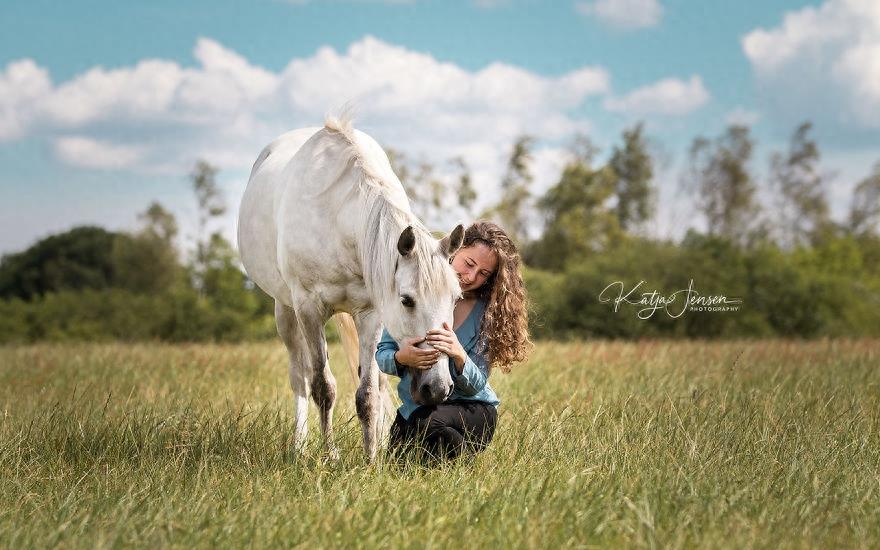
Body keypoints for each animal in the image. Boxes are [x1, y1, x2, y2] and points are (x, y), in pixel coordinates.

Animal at [234, 115, 468, 462]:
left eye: (456, 299)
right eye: (407, 300)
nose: (438, 388)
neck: (338, 221)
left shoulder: (370, 313)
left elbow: (368, 392)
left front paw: (372, 460)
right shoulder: (308, 308)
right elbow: (323, 387)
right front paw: (330, 455)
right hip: (285, 311)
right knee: (300, 378)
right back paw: (300, 446)